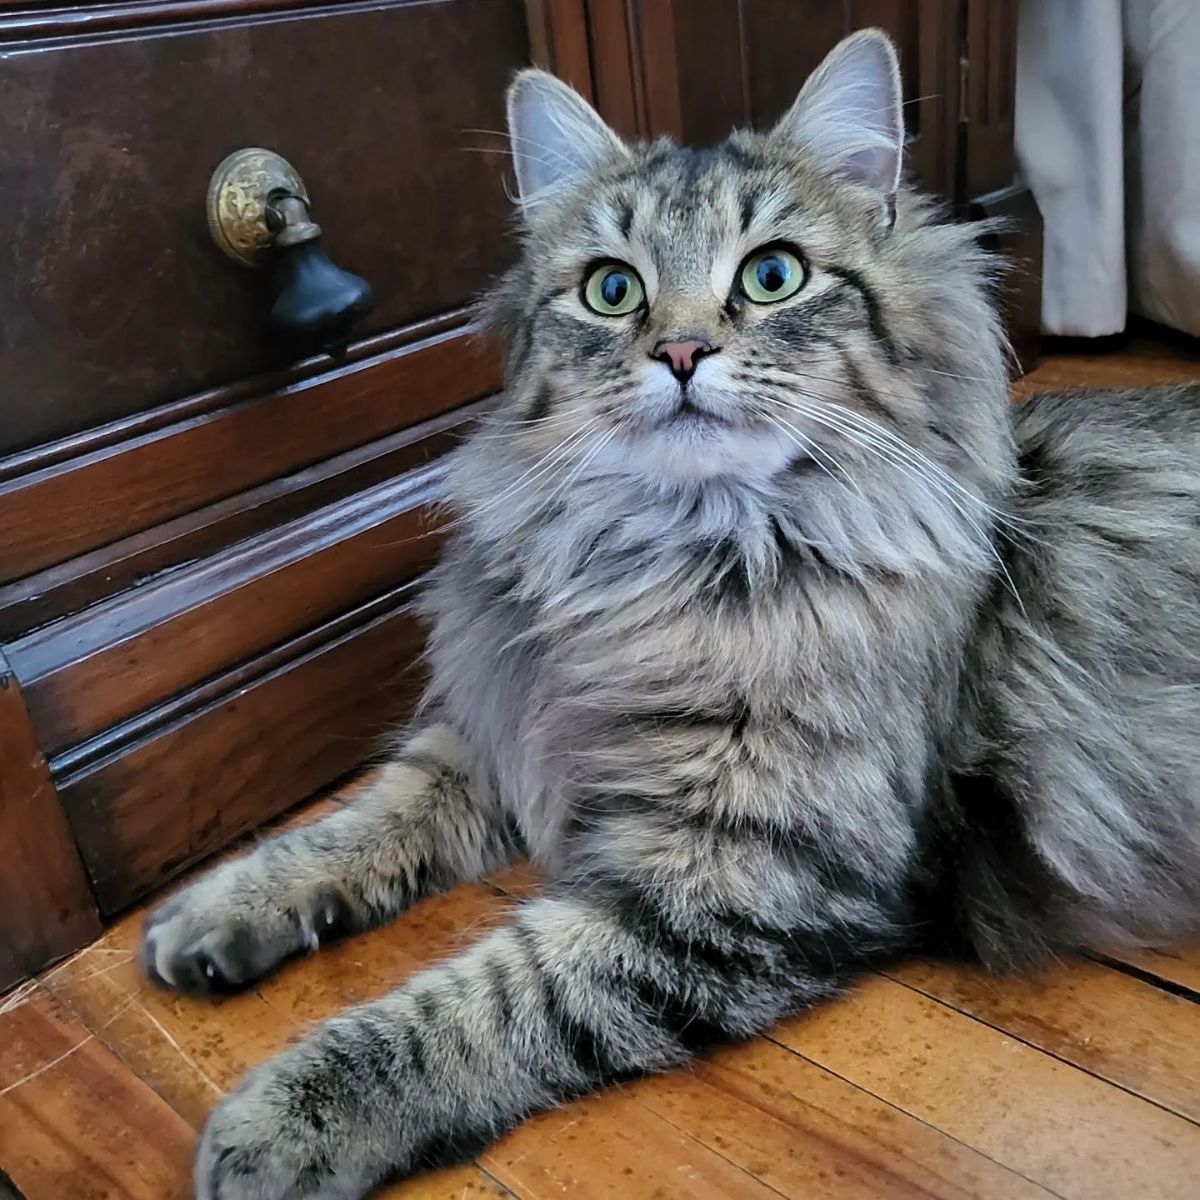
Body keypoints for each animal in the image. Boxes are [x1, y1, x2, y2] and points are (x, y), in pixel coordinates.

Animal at [136, 28, 1195, 1200]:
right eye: (612, 290)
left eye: (772, 276)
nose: (681, 353)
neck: (673, 569)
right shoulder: (519, 728)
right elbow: (366, 816)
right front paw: (221, 909)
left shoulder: (730, 879)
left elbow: (489, 1000)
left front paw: (285, 1118)